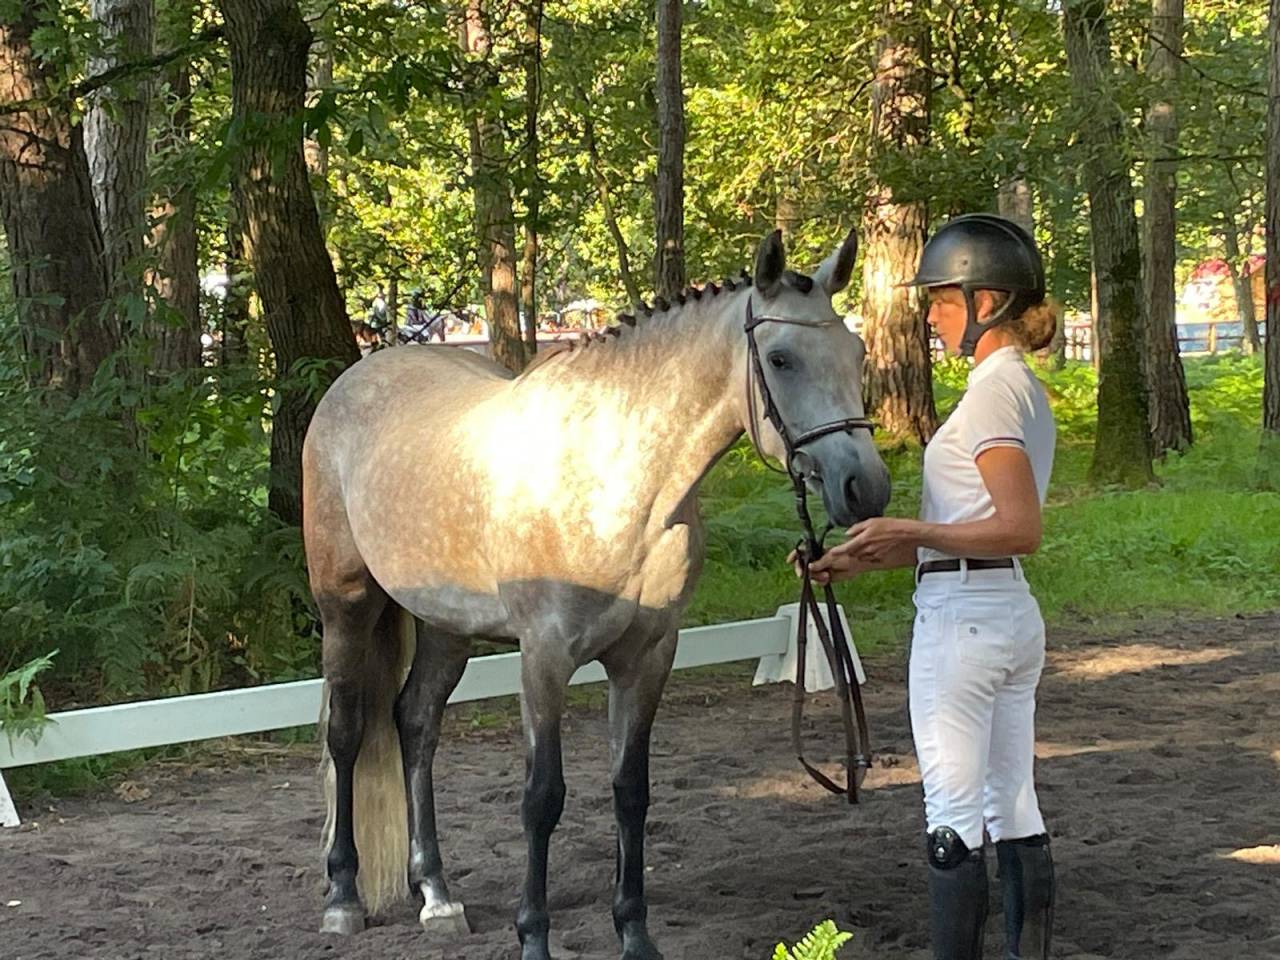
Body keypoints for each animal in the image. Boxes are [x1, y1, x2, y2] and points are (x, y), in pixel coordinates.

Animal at [302, 229, 892, 960]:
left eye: (856, 354)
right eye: (781, 359)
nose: (864, 488)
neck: (618, 483)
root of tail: (356, 378)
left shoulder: (647, 657)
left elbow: (630, 791)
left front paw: (635, 933)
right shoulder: (544, 658)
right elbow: (542, 797)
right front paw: (533, 936)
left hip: (446, 626)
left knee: (415, 725)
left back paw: (437, 894)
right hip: (345, 607)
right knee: (348, 733)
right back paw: (342, 898)